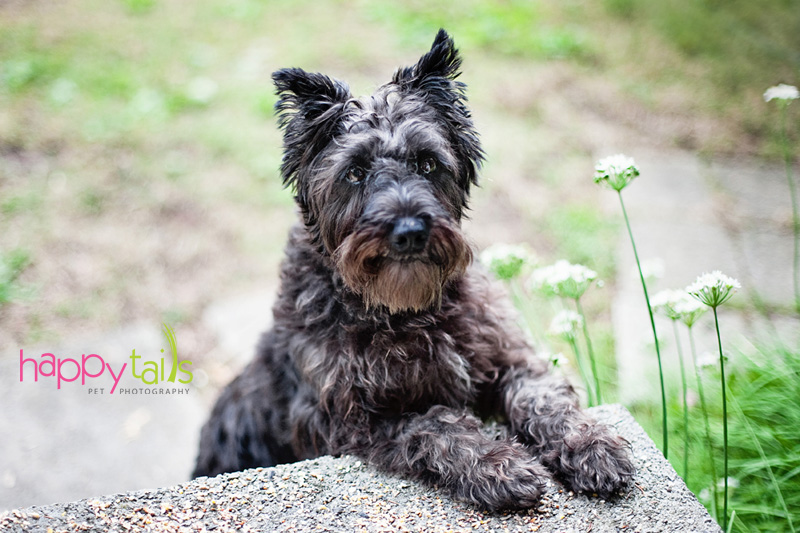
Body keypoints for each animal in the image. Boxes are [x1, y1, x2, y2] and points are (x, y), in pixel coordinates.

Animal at [192, 30, 632, 512]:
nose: (408, 231)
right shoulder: (357, 422)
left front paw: (591, 445)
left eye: (427, 163)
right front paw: (498, 465)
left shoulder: (510, 359)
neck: (405, 311)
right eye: (355, 172)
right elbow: (437, 425)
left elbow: (543, 397)